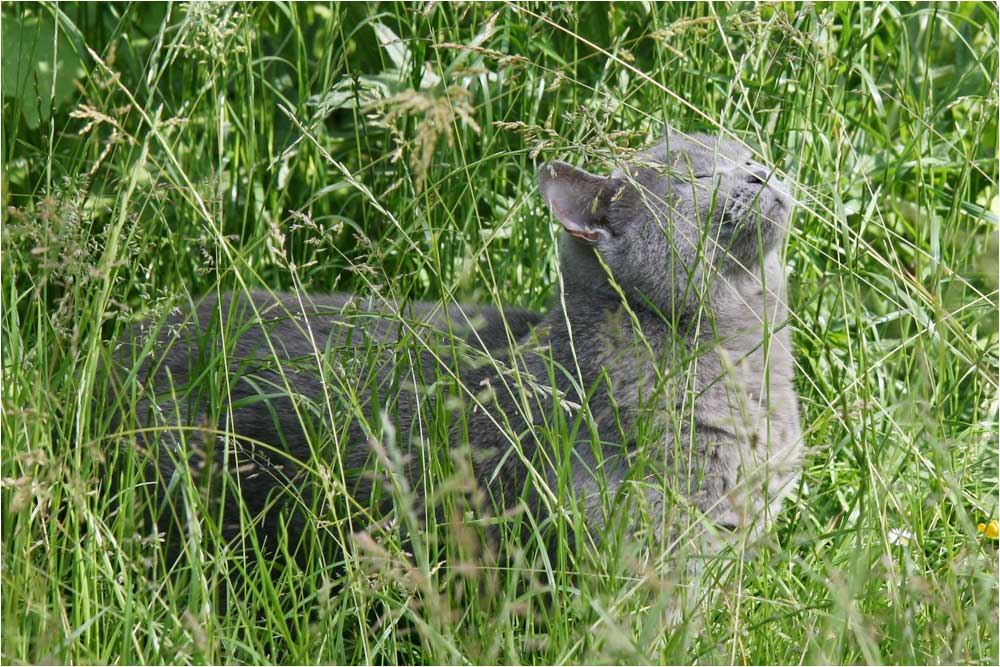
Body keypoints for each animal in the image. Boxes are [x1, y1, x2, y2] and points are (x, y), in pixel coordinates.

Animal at [115, 130, 804, 560]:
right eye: (698, 174)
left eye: (747, 149)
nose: (763, 169)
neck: (742, 356)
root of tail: (131, 338)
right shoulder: (642, 535)